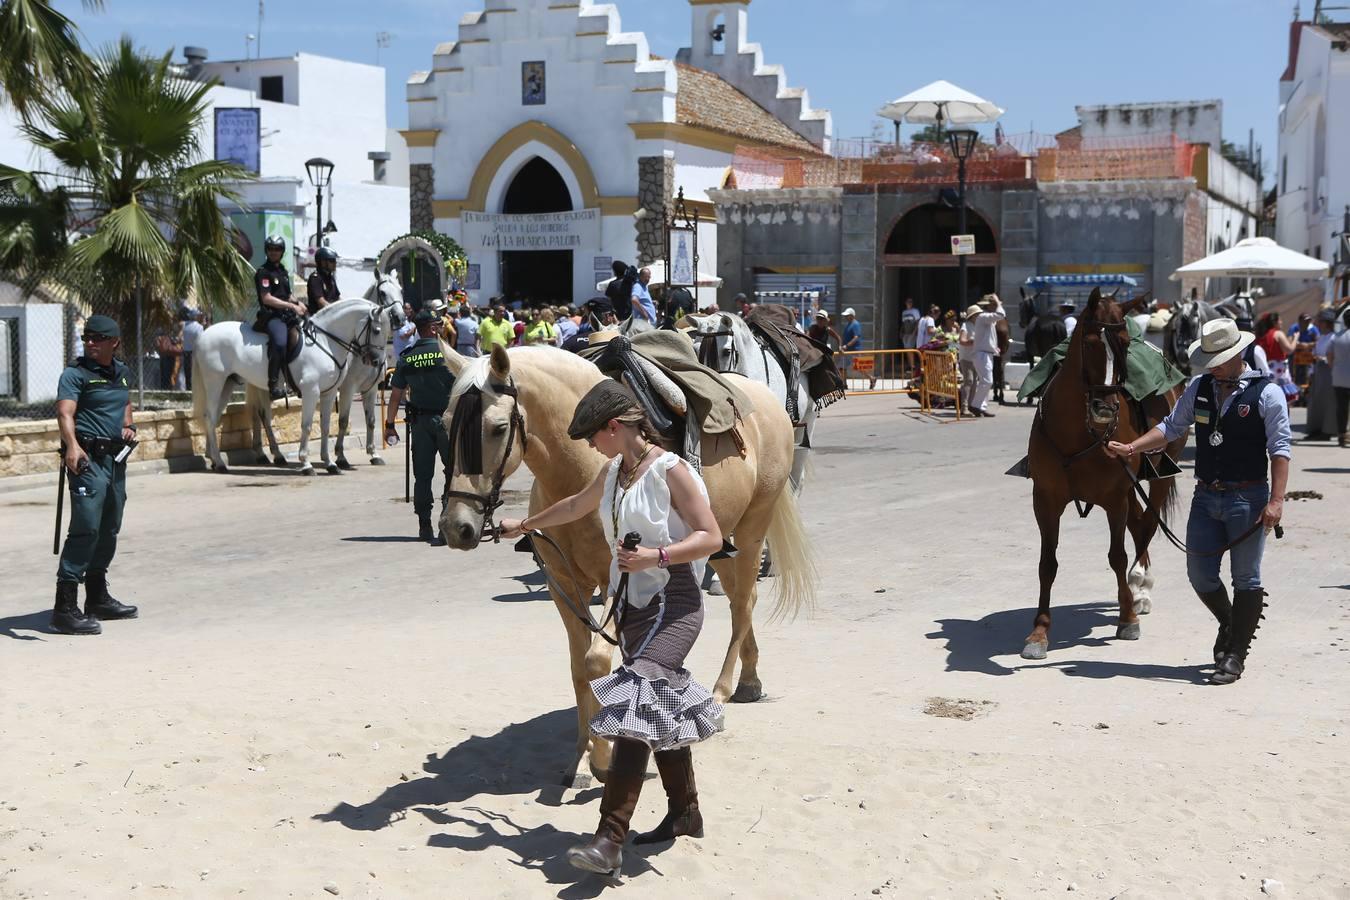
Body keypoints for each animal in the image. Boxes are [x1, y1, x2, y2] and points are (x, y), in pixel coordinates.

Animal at [194, 290, 399, 474]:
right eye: (377, 330)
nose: (376, 361)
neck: (325, 341)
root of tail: (205, 334)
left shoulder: (331, 392)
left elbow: (326, 426)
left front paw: (330, 463)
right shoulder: (314, 391)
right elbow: (308, 426)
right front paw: (307, 463)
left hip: (228, 384)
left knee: (226, 417)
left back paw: (217, 459)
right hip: (215, 383)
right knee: (211, 417)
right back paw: (221, 463)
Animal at [437, 348, 810, 782]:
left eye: (497, 428)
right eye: (445, 423)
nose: (457, 527)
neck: (580, 470)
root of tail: (763, 398)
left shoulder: (618, 584)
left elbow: (597, 661)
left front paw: (602, 754)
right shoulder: (565, 589)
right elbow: (579, 668)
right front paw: (583, 756)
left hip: (752, 529)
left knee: (744, 602)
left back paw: (722, 691)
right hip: (721, 543)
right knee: (740, 599)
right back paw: (748, 681)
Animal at [1020, 290, 1182, 661]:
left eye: (1124, 343)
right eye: (1090, 342)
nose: (1105, 410)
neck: (1078, 433)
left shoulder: (1113, 498)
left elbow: (1117, 556)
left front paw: (1128, 619)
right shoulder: (1045, 501)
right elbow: (1047, 564)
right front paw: (1039, 632)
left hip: (1160, 476)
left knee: (1147, 526)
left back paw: (1141, 588)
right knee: (1139, 523)